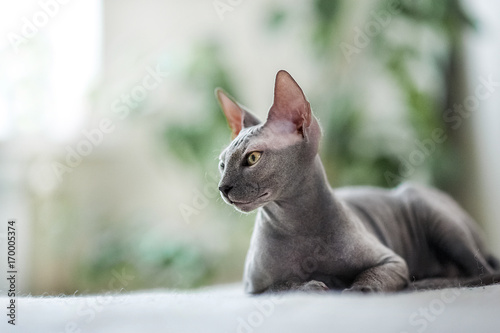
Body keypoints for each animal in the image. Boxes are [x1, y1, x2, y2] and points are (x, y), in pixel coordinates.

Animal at [216, 70, 500, 294]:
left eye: (253, 158)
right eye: (222, 164)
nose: (222, 188)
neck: (297, 222)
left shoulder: (391, 261)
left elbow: (370, 275)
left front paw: (356, 289)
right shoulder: (253, 288)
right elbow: (282, 286)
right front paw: (312, 285)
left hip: (429, 211)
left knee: (481, 272)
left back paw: (428, 281)